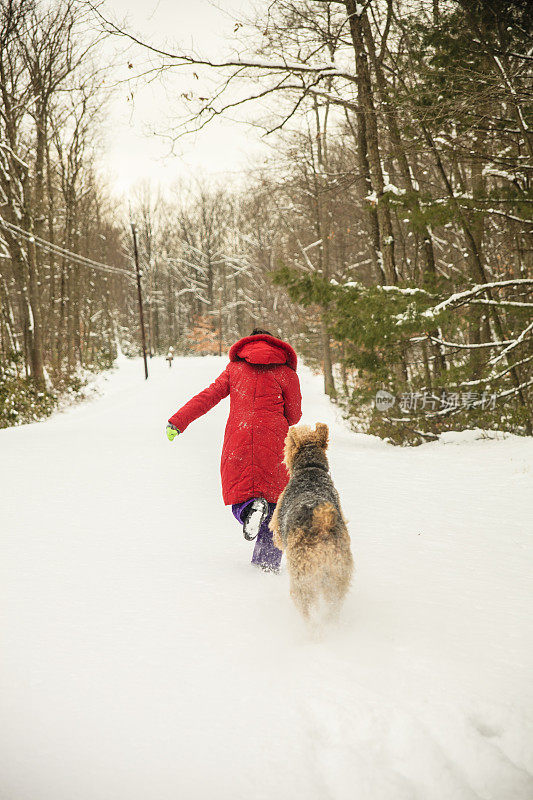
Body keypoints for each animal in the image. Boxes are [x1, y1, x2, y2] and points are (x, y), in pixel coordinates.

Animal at [270, 422, 354, 620]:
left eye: (288, 441)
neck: (310, 468)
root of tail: (322, 524)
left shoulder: (276, 524)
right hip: (337, 577)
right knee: (332, 608)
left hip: (303, 579)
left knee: (309, 613)